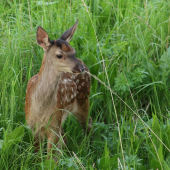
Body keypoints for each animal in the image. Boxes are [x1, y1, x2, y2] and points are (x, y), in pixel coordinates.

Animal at [24, 19, 91, 161]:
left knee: (88, 123)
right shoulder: (32, 125)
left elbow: (50, 158)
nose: (80, 68)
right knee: (65, 136)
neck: (41, 108)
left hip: (83, 100)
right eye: (59, 55)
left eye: (74, 52)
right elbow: (37, 154)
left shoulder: (53, 124)